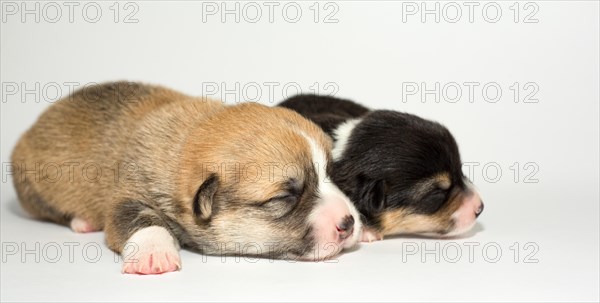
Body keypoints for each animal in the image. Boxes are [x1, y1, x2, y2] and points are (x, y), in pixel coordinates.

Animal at [11, 82, 360, 276]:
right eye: (284, 198)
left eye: (331, 174)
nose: (349, 223)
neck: (190, 133)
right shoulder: (129, 192)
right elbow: (139, 218)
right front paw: (154, 253)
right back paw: (81, 221)